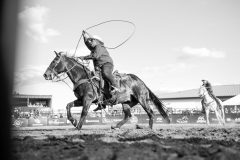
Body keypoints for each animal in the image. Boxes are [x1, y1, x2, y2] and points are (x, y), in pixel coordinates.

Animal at [43, 51, 171, 130]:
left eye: (54, 61)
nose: (45, 74)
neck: (83, 77)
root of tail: (140, 81)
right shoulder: (80, 99)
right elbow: (68, 105)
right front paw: (73, 121)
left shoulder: (88, 99)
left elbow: (84, 112)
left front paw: (78, 126)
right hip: (126, 102)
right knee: (128, 115)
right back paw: (116, 126)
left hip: (142, 99)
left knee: (150, 112)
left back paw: (148, 128)